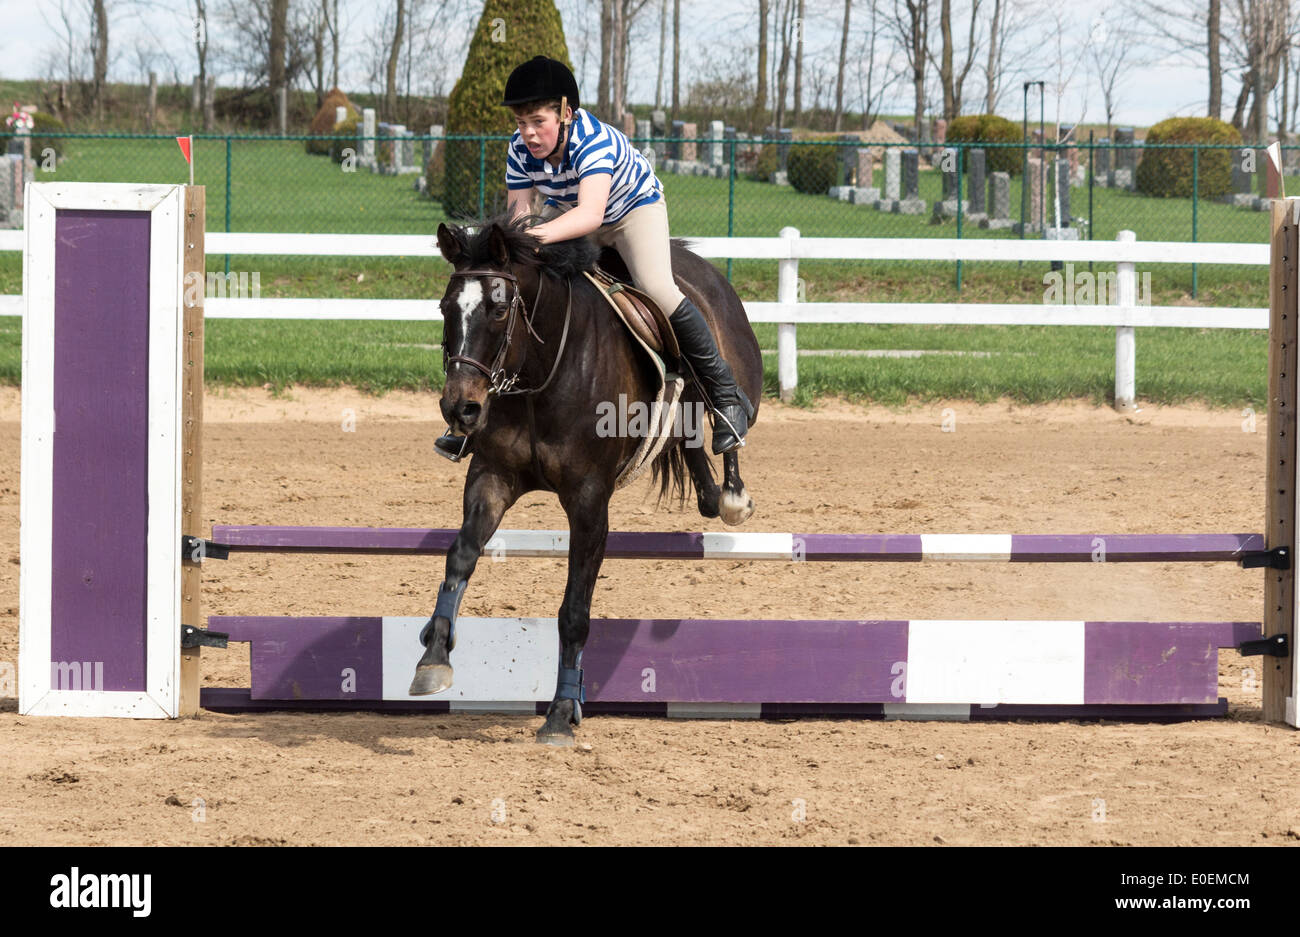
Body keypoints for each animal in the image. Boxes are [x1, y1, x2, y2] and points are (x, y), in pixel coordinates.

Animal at [413, 214, 759, 743]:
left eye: (499, 309)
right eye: (445, 308)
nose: (460, 409)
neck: (541, 372)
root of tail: (703, 269)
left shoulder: (589, 499)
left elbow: (574, 609)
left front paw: (560, 712)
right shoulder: (492, 477)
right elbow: (461, 557)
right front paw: (433, 658)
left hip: (737, 376)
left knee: (728, 421)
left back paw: (733, 486)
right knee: (688, 441)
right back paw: (710, 492)